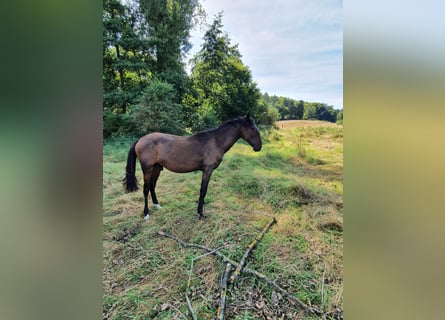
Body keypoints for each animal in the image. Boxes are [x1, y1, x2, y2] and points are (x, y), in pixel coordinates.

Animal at [122, 115, 260, 220]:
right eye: (252, 128)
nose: (259, 147)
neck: (215, 141)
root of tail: (140, 140)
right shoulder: (207, 171)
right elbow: (203, 191)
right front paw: (200, 213)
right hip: (148, 169)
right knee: (146, 189)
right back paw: (146, 213)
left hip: (156, 168)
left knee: (152, 186)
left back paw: (157, 205)